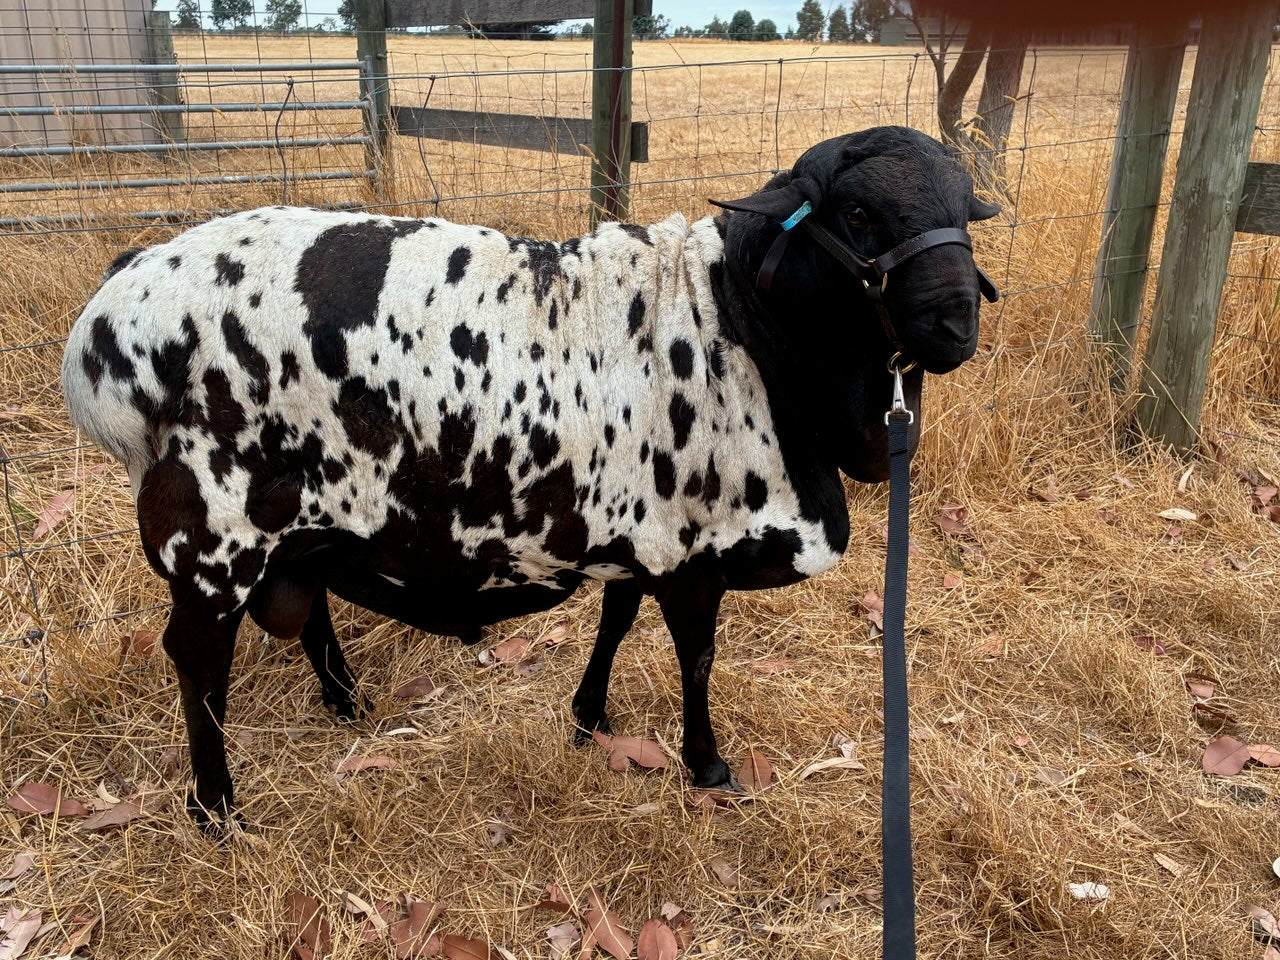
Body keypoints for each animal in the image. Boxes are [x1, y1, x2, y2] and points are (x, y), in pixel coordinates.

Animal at [62, 125, 998, 826]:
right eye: (857, 210)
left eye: (967, 209)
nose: (956, 326)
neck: (741, 321)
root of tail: (111, 303)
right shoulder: (691, 552)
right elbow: (696, 657)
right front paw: (706, 765)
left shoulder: (640, 532)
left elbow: (617, 619)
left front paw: (590, 718)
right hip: (211, 531)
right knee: (196, 657)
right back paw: (216, 807)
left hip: (292, 521)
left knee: (304, 602)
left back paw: (345, 703)